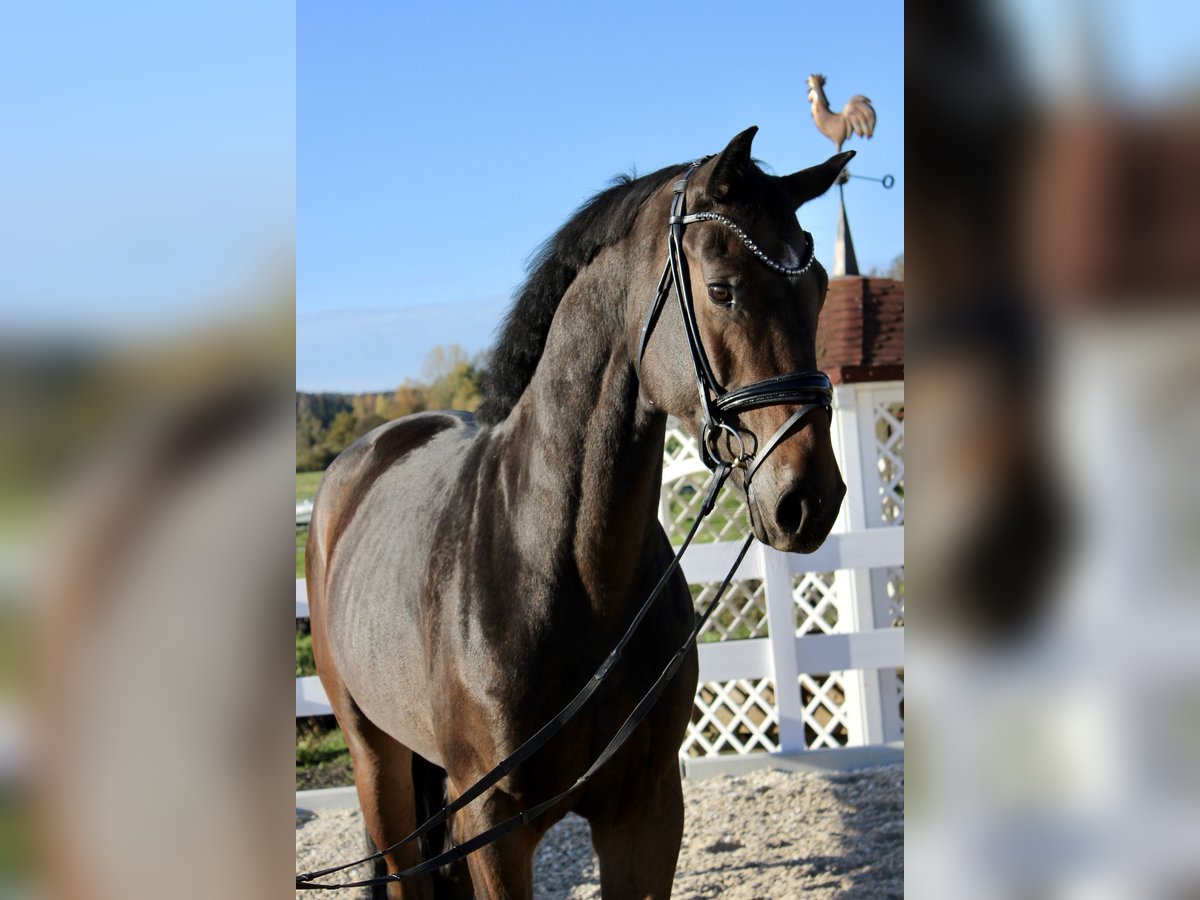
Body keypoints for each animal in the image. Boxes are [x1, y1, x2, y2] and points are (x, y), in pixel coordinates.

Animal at [309, 128, 854, 900]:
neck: (567, 570)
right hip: (375, 761)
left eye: (819, 288)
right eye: (723, 288)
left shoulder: (646, 810)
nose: (808, 498)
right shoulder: (493, 830)